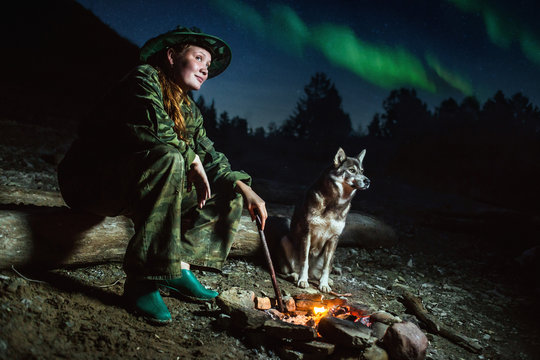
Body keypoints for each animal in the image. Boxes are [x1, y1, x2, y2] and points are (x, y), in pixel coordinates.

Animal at [276, 148, 370, 292]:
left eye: (362, 171)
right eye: (352, 170)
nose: (367, 181)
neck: (335, 204)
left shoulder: (334, 238)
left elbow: (325, 268)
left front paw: (324, 284)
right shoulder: (307, 233)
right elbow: (304, 262)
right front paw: (302, 280)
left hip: (332, 255)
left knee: (321, 272)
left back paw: (327, 280)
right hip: (285, 241)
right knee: (288, 271)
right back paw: (296, 276)